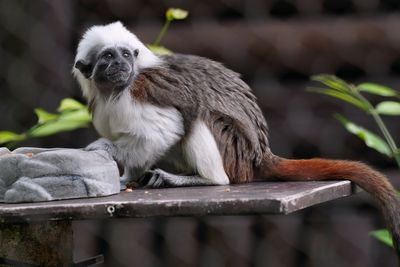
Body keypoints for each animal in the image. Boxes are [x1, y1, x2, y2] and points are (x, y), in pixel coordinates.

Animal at [72, 22, 400, 260]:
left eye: (125, 54)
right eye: (108, 57)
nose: (120, 64)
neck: (115, 90)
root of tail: (260, 154)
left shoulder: (139, 92)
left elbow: (165, 128)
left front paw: (107, 151)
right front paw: (124, 176)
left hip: (235, 151)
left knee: (199, 116)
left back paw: (203, 179)